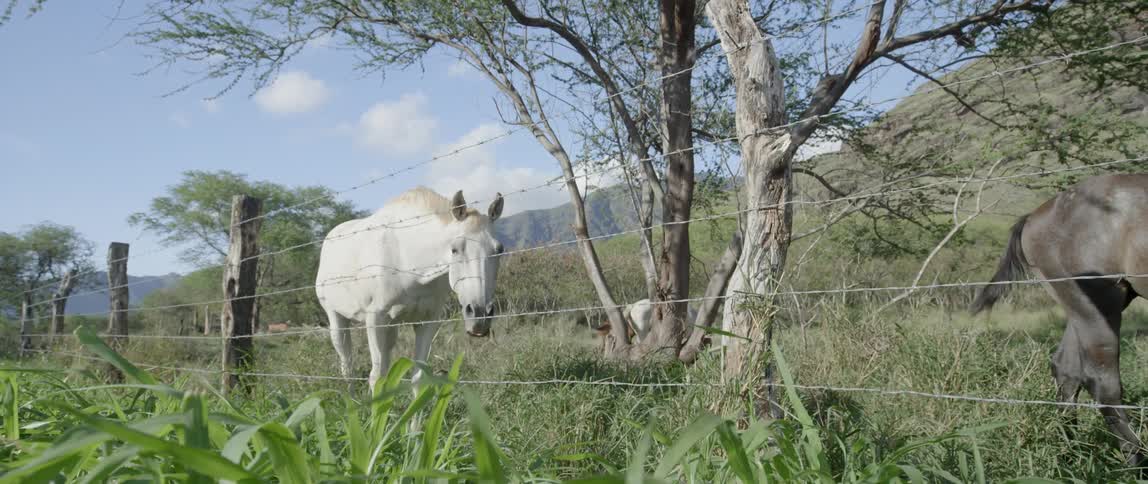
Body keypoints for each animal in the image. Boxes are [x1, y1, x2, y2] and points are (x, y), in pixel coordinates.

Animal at [316, 186, 505, 394]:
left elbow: (418, 377)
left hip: (391, 327)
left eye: (499, 249)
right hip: (337, 319)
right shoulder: (375, 319)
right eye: (455, 249)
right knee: (347, 366)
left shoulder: (428, 321)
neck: (407, 261)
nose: (480, 315)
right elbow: (376, 377)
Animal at [971, 173, 1148, 467]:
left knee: (1066, 369)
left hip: (1085, 306)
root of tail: (1035, 217)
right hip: (1099, 305)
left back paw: (1072, 455)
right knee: (1103, 384)